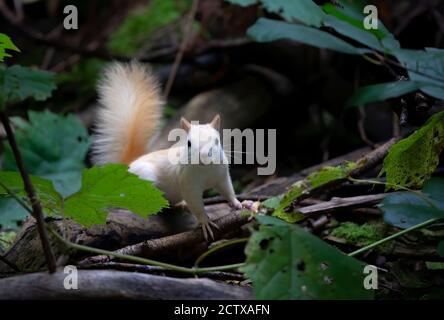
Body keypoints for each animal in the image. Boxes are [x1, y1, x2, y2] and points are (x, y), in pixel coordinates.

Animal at [91, 61, 241, 240]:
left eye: (217, 141)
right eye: (188, 143)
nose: (204, 155)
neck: (206, 171)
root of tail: (125, 168)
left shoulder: (222, 175)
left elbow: (228, 190)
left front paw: (240, 203)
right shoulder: (188, 183)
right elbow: (196, 204)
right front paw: (205, 221)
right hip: (143, 179)